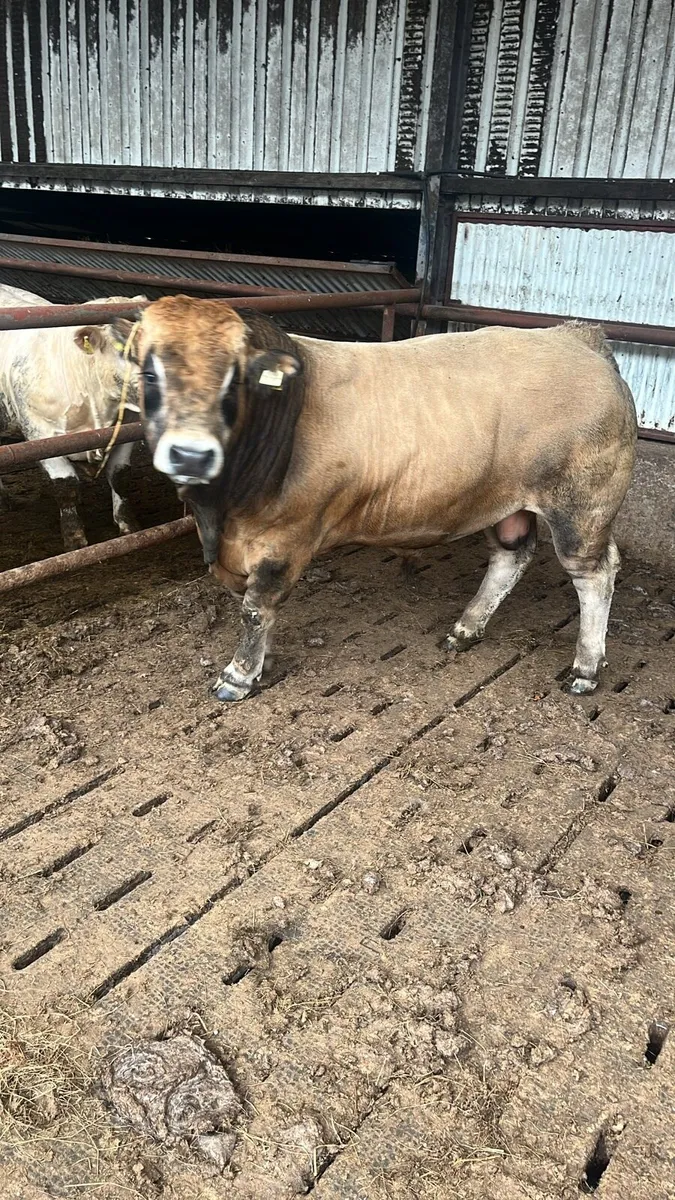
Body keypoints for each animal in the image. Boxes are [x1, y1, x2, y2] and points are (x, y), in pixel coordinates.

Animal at [0, 283, 145, 550]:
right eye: (127, 349)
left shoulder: (127, 427)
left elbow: (119, 476)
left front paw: (128, 525)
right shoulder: (40, 433)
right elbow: (65, 485)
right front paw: (75, 538)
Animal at [116, 296, 637, 701]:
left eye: (236, 377)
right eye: (149, 374)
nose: (191, 454)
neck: (221, 513)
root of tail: (574, 336)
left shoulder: (285, 539)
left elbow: (255, 607)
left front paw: (239, 675)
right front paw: (263, 658)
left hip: (582, 507)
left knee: (595, 574)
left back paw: (586, 668)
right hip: (505, 500)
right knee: (512, 557)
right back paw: (466, 628)